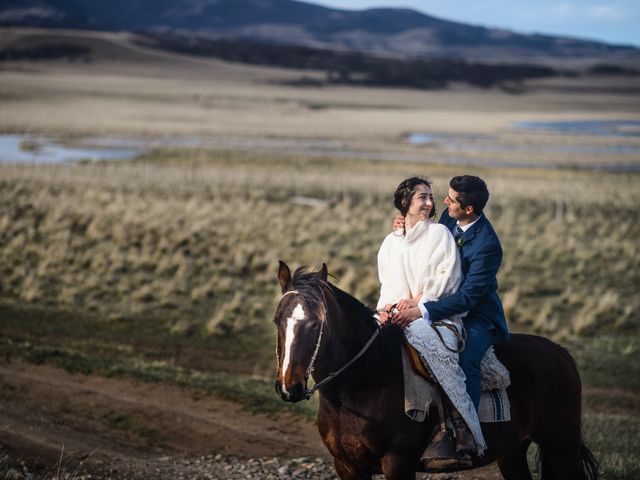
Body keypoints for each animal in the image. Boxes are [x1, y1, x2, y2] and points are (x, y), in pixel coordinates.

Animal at [272, 262, 596, 480]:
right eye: (278, 320)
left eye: (316, 323)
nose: (290, 386)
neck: (356, 389)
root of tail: (560, 354)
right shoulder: (348, 466)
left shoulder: (398, 463)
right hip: (513, 453)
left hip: (562, 449)